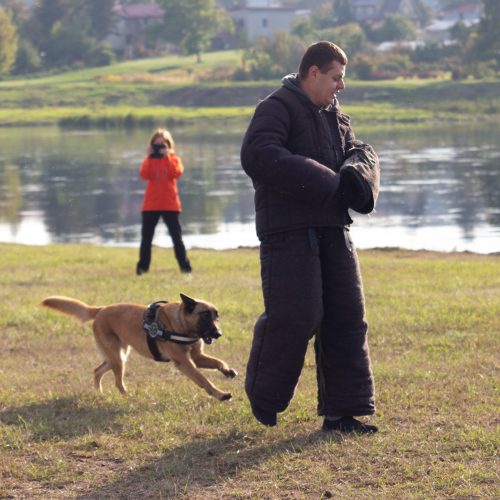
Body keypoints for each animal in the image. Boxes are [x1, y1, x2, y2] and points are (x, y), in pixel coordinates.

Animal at [41, 294, 238, 400]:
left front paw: (227, 371)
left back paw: (99, 393)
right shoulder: (185, 363)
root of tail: (101, 310)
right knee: (117, 381)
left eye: (216, 316)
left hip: (117, 356)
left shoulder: (196, 358)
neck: (179, 323)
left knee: (97, 371)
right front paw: (220, 394)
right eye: (204, 315)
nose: (218, 333)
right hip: (118, 358)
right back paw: (127, 397)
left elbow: (218, 362)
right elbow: (204, 380)